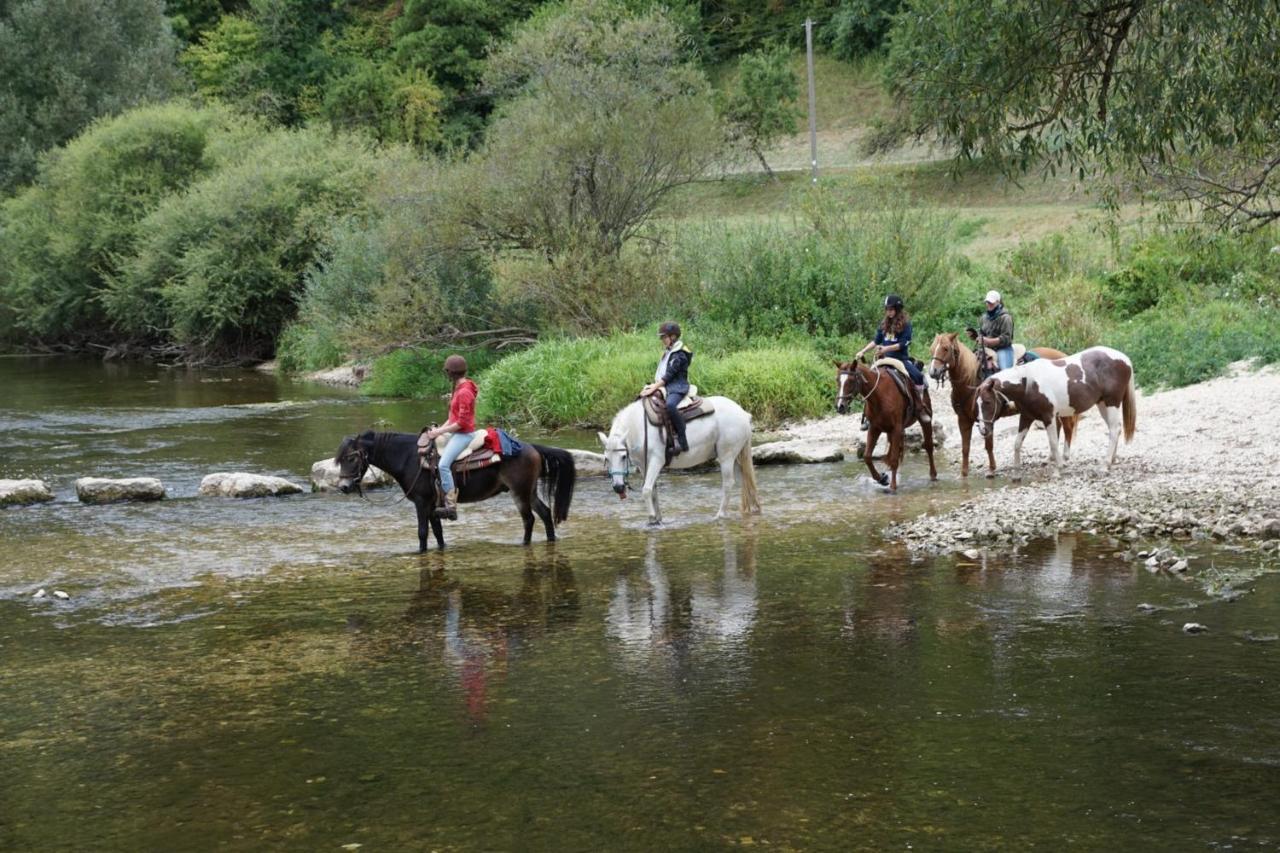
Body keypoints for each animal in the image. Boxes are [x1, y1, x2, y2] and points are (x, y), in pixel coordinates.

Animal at [330, 427, 576, 548]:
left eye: (352, 457)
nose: (343, 487)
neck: (409, 457)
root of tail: (531, 446)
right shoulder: (432, 505)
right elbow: (437, 532)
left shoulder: (421, 502)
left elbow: (422, 533)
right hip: (529, 491)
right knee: (545, 513)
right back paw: (551, 540)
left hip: (520, 492)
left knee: (529, 519)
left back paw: (523, 544)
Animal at [596, 394, 757, 525]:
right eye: (607, 459)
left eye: (623, 457)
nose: (618, 488)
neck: (639, 427)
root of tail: (743, 413)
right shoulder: (643, 465)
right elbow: (653, 491)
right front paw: (658, 519)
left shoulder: (656, 460)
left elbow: (646, 489)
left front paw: (651, 519)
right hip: (736, 457)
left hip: (726, 456)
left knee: (728, 484)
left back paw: (720, 515)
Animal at [834, 358, 936, 491]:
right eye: (837, 380)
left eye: (851, 381)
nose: (840, 406)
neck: (879, 395)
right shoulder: (874, 428)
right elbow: (867, 457)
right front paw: (882, 479)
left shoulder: (896, 429)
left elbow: (893, 459)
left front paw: (892, 486)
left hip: (924, 420)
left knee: (928, 446)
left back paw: (933, 475)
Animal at [926, 333, 1075, 479]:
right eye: (932, 349)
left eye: (945, 348)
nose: (933, 372)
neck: (970, 381)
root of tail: (1062, 355)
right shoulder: (963, 420)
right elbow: (965, 448)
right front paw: (964, 474)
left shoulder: (987, 419)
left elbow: (989, 445)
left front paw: (991, 470)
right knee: (1059, 426)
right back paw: (1050, 458)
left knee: (1067, 426)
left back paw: (1065, 458)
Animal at [972, 343, 1136, 479]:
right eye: (977, 404)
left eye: (987, 402)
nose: (983, 430)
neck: (1028, 383)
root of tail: (1124, 358)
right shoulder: (1026, 417)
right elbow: (1017, 443)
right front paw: (1017, 474)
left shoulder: (1048, 417)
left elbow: (1053, 443)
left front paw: (1058, 470)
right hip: (1102, 404)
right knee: (1115, 429)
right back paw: (1111, 460)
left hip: (1112, 403)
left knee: (1114, 430)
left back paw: (1105, 465)